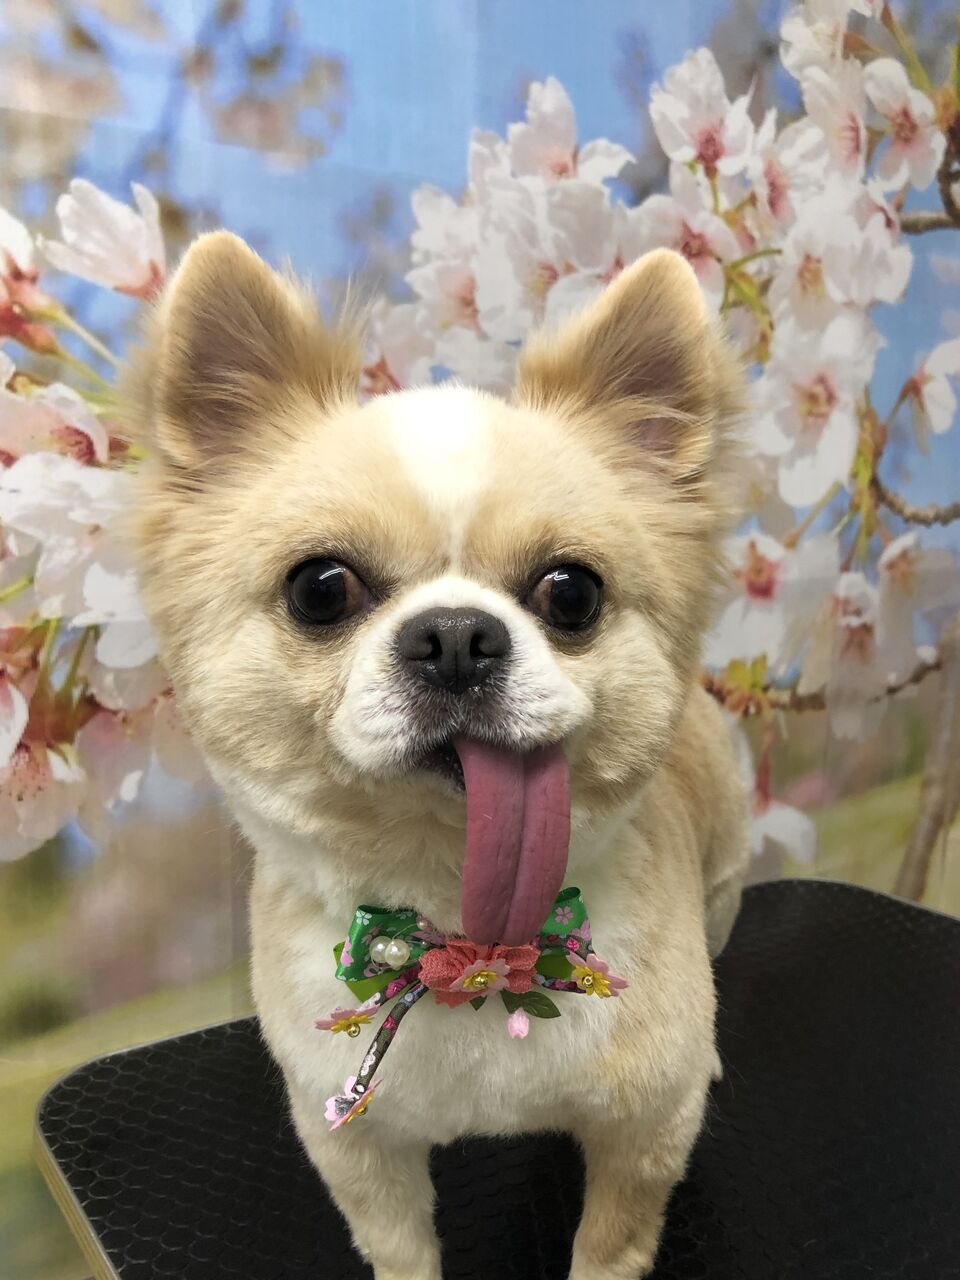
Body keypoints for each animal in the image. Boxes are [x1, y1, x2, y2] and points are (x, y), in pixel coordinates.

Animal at [127, 233, 748, 1280]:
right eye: (321, 588)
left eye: (571, 593)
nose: (456, 636)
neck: (465, 922)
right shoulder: (354, 1144)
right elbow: (398, 1246)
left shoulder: (642, 1133)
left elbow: (611, 1243)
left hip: (722, 888)